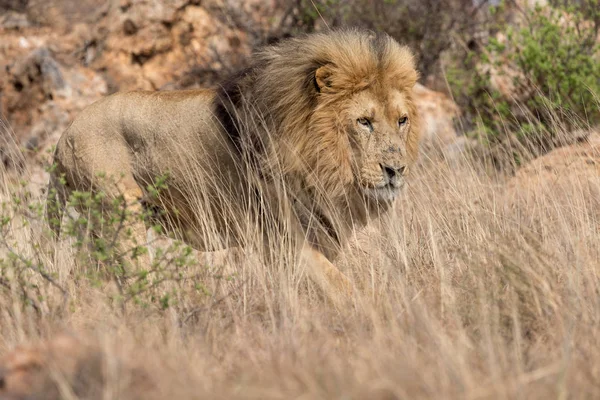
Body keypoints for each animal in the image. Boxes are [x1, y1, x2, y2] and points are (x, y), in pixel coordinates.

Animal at [45, 29, 422, 300]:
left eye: (402, 120)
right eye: (364, 122)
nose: (395, 170)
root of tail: (64, 135)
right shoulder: (281, 238)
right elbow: (344, 289)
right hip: (119, 217)